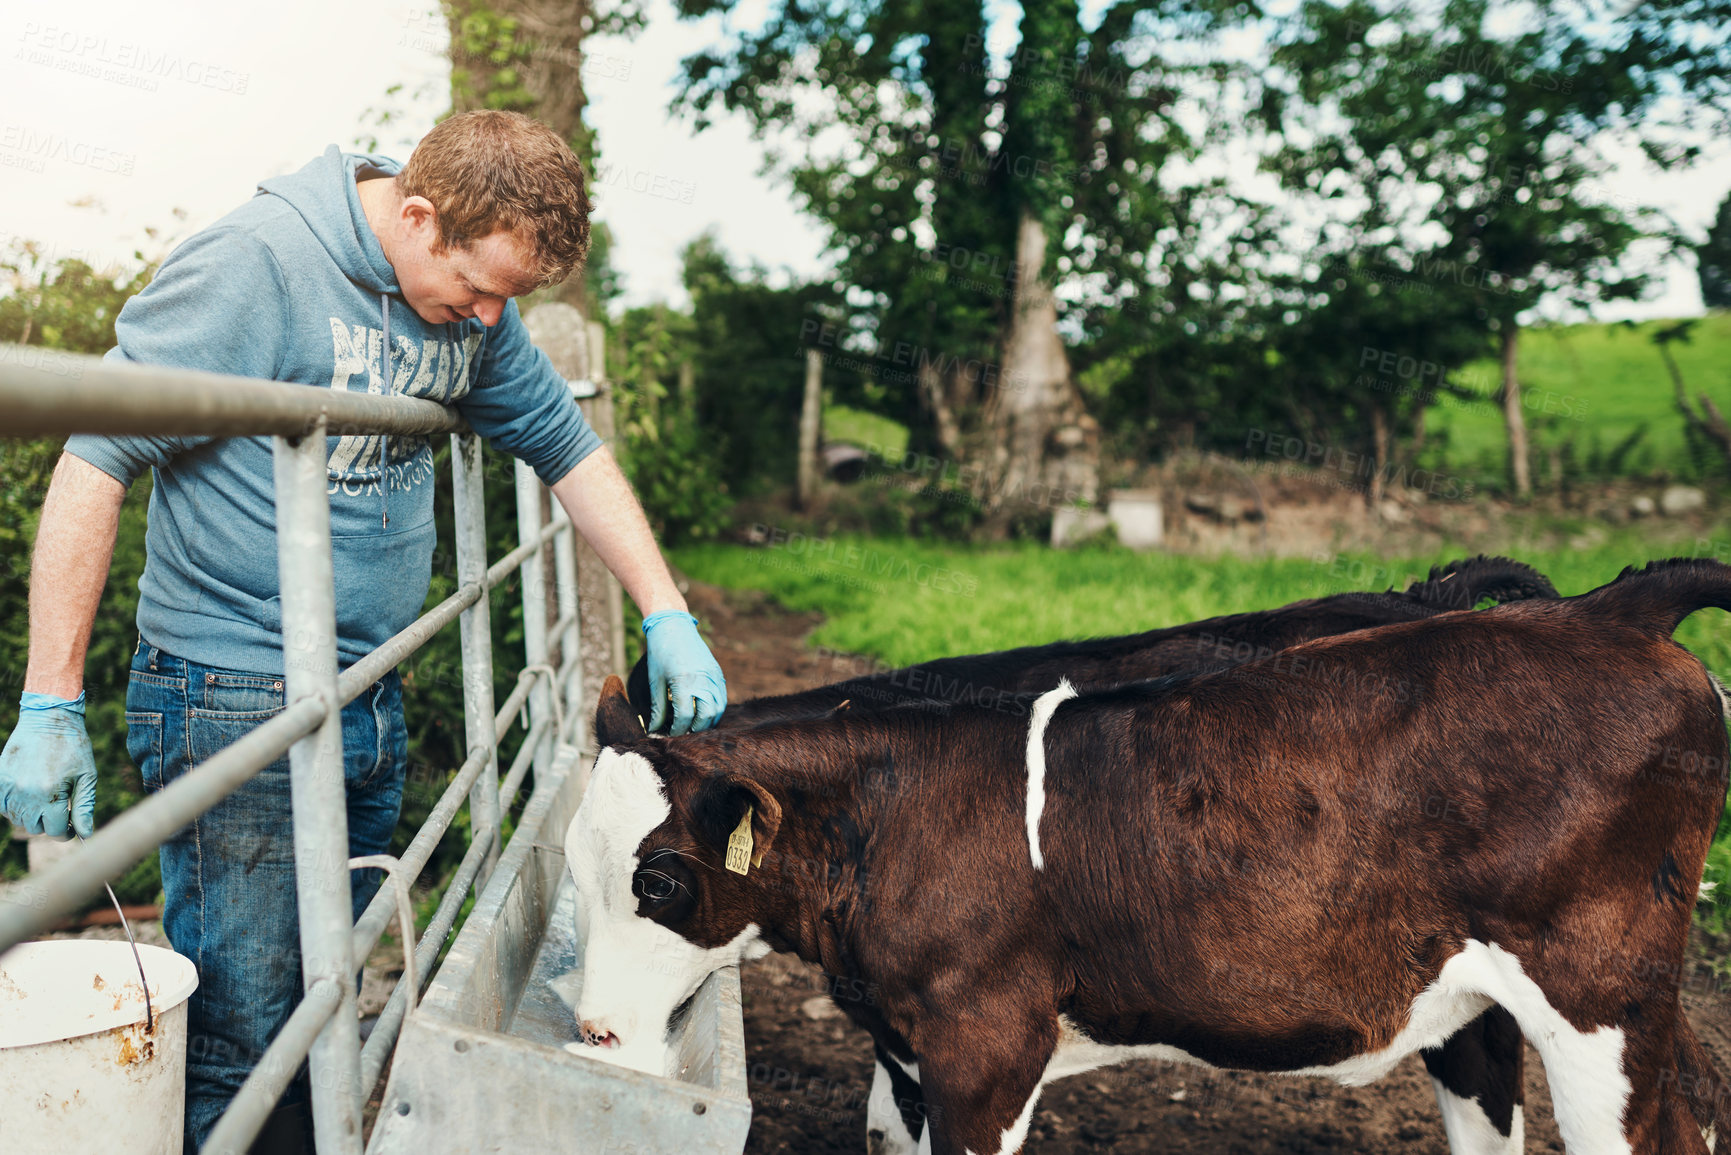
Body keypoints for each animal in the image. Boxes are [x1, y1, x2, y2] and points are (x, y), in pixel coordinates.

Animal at [567, 557, 1731, 1149]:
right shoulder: (903, 1042)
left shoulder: (987, 1046)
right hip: (1475, 990)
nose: (595, 1032)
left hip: (1600, 994)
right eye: (571, 871)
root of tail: (1606, 609)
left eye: (659, 878)